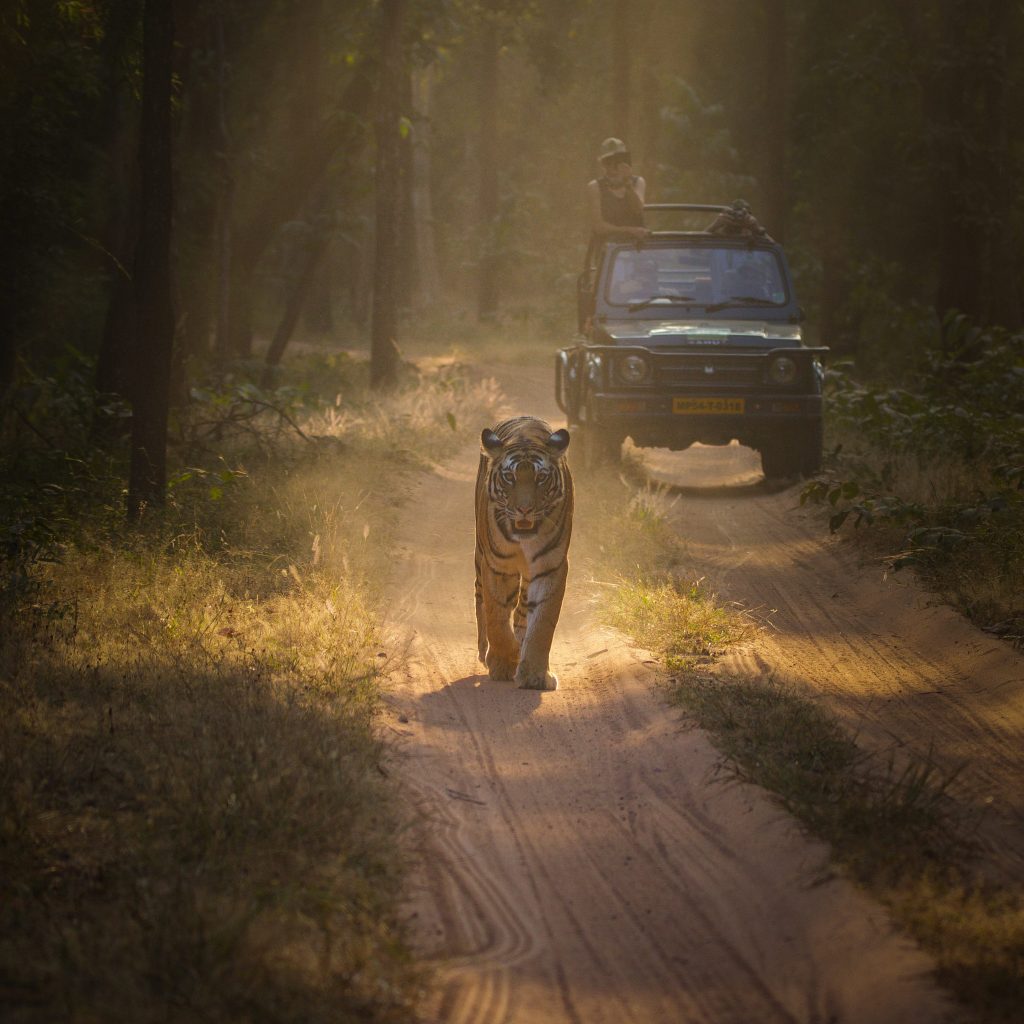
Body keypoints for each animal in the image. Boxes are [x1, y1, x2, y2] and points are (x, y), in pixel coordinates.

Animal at [473, 417, 573, 696]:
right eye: (510, 477)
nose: (525, 509)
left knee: (520, 611)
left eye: (541, 478)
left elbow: (542, 625)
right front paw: (504, 662)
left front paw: (534, 675)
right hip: (479, 559)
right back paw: (485, 652)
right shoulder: (497, 566)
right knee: (481, 602)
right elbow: (496, 618)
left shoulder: (551, 567)